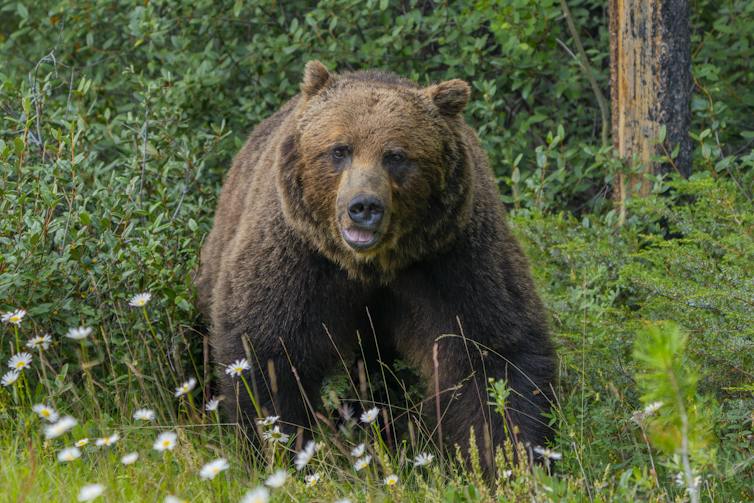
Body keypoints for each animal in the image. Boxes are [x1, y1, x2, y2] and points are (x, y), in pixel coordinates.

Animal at [196, 61, 556, 468]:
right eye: (340, 150)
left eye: (396, 156)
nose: (364, 206)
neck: (372, 265)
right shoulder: (298, 258)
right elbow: (268, 350)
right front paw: (279, 448)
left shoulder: (453, 259)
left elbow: (492, 353)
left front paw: (512, 457)